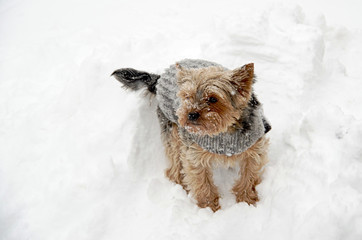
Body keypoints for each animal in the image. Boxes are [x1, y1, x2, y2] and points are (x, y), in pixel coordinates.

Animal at [111, 59, 270, 211]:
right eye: (187, 96)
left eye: (213, 99)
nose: (191, 114)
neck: (224, 131)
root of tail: (159, 78)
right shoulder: (194, 154)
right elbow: (202, 182)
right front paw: (209, 207)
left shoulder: (254, 149)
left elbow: (249, 175)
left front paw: (247, 200)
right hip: (172, 130)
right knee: (174, 162)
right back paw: (180, 185)